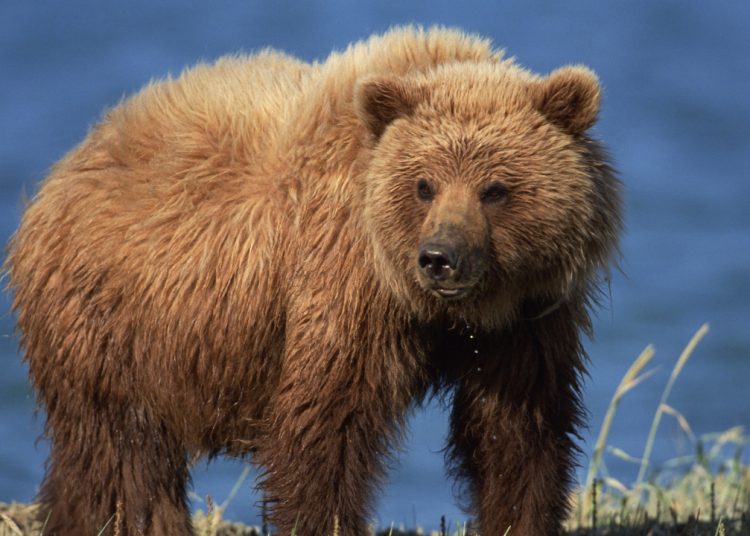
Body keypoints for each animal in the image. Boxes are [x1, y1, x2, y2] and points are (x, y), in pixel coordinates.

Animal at [5, 26, 621, 535]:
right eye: (424, 184)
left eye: (495, 188)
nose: (439, 258)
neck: (439, 310)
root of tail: (62, 169)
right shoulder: (343, 285)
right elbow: (325, 428)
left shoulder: (526, 316)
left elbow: (515, 432)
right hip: (111, 326)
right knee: (125, 457)